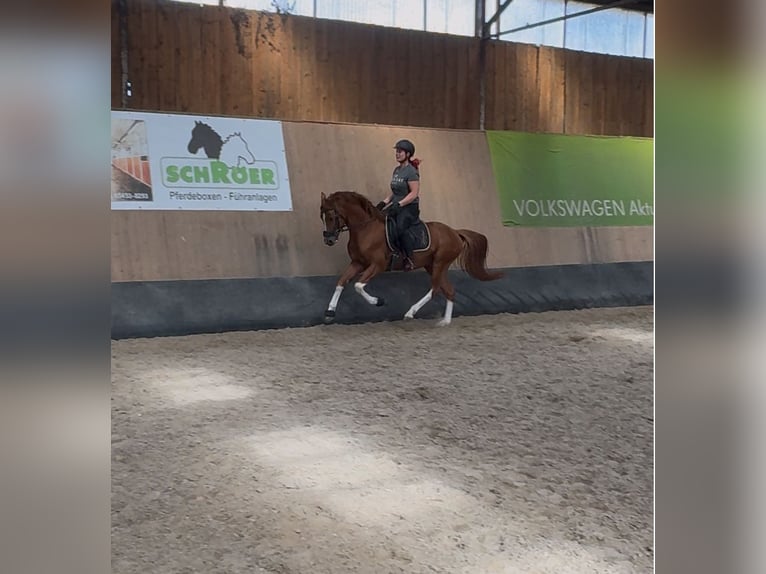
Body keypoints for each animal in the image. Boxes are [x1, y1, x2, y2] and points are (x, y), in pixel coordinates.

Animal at [320, 191, 502, 326]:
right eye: (322, 217)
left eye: (331, 216)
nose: (329, 240)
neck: (366, 228)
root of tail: (455, 232)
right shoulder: (358, 263)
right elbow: (341, 282)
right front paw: (329, 312)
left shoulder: (378, 264)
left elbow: (358, 286)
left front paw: (379, 301)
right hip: (432, 266)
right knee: (449, 290)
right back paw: (445, 322)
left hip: (440, 263)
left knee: (435, 289)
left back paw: (410, 313)